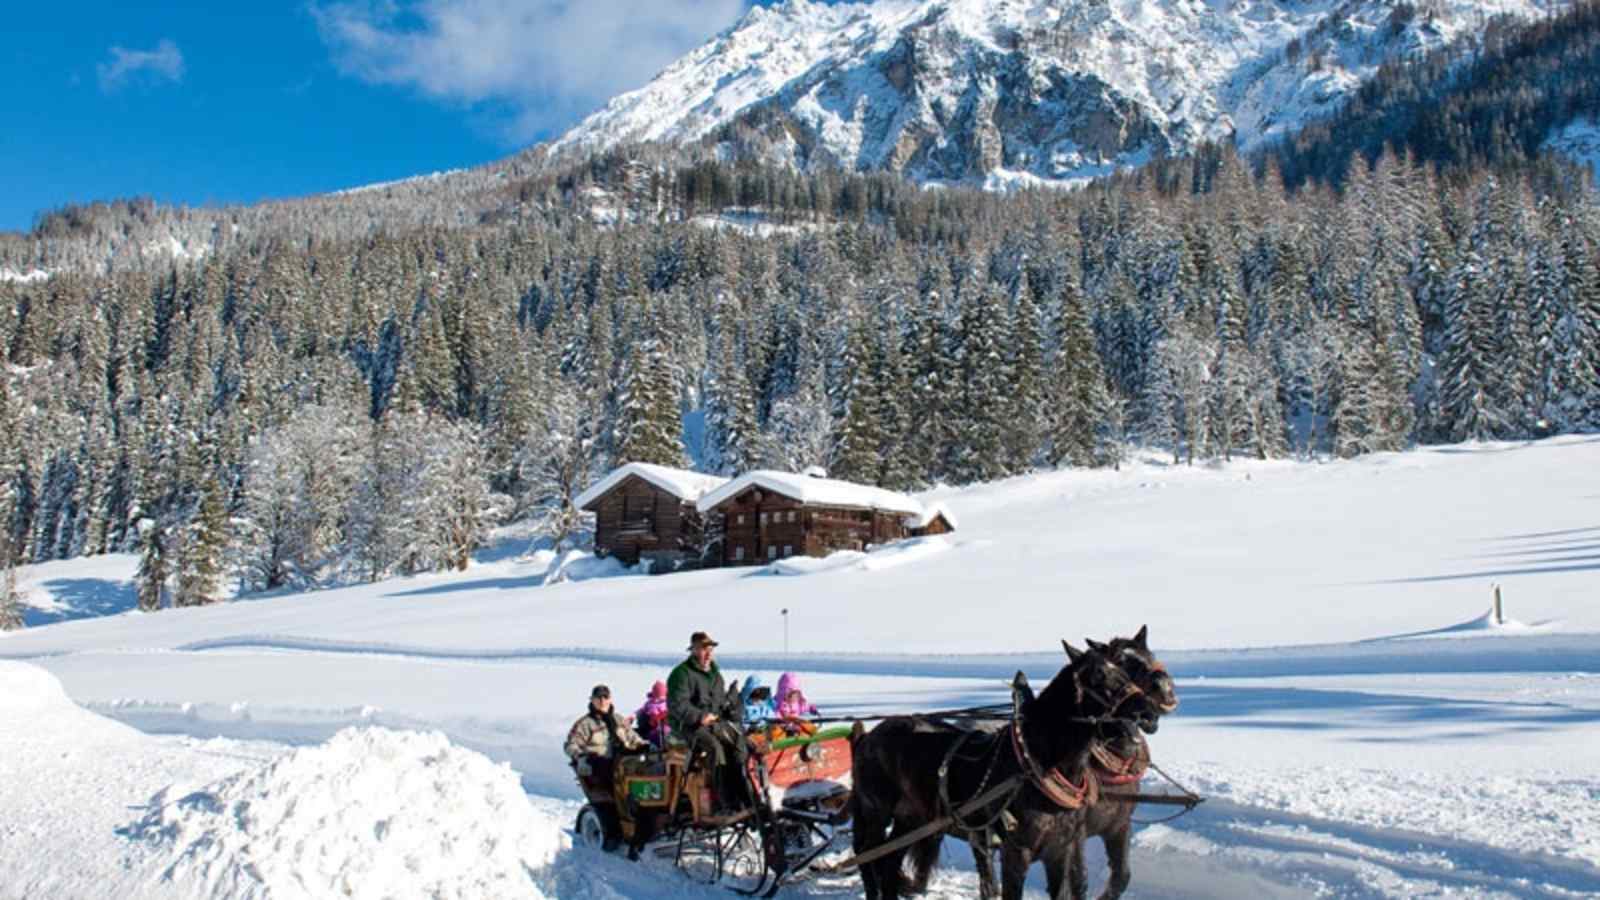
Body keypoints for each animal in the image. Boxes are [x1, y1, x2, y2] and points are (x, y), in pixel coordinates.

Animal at [851, 630, 1164, 896]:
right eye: (1099, 675)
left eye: (1123, 671)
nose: (1147, 712)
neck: (1036, 766)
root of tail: (867, 738)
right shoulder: (1016, 853)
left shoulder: (1061, 850)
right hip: (877, 812)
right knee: (867, 856)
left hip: (912, 818)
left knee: (889, 863)